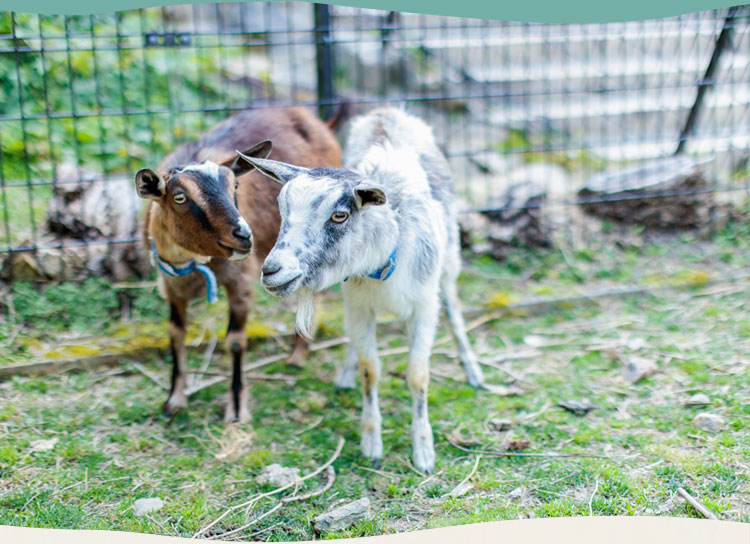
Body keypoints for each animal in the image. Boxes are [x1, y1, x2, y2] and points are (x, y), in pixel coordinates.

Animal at [136, 105, 344, 420]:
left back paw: (297, 355)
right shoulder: (170, 285)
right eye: (180, 197)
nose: (244, 235)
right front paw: (174, 400)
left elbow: (235, 339)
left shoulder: (242, 281)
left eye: (234, 185)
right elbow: (175, 333)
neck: (194, 264)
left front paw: (236, 409)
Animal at [241, 106, 488, 472]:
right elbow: (369, 369)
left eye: (340, 215)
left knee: (455, 311)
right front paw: (371, 443)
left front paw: (424, 451)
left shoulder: (424, 306)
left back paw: (472, 371)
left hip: (450, 260)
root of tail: (387, 110)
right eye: (283, 209)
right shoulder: (358, 305)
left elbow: (418, 375)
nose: (272, 271)